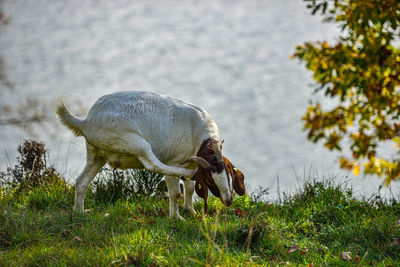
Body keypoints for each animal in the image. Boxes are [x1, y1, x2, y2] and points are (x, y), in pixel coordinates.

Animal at [56, 91, 244, 219]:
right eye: (211, 180)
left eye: (228, 174)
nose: (228, 200)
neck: (199, 133)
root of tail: (86, 122)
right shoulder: (177, 160)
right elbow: (175, 192)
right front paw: (177, 218)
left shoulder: (194, 162)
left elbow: (190, 189)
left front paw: (191, 211)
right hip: (133, 141)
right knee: (152, 163)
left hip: (96, 154)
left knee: (82, 181)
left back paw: (79, 212)